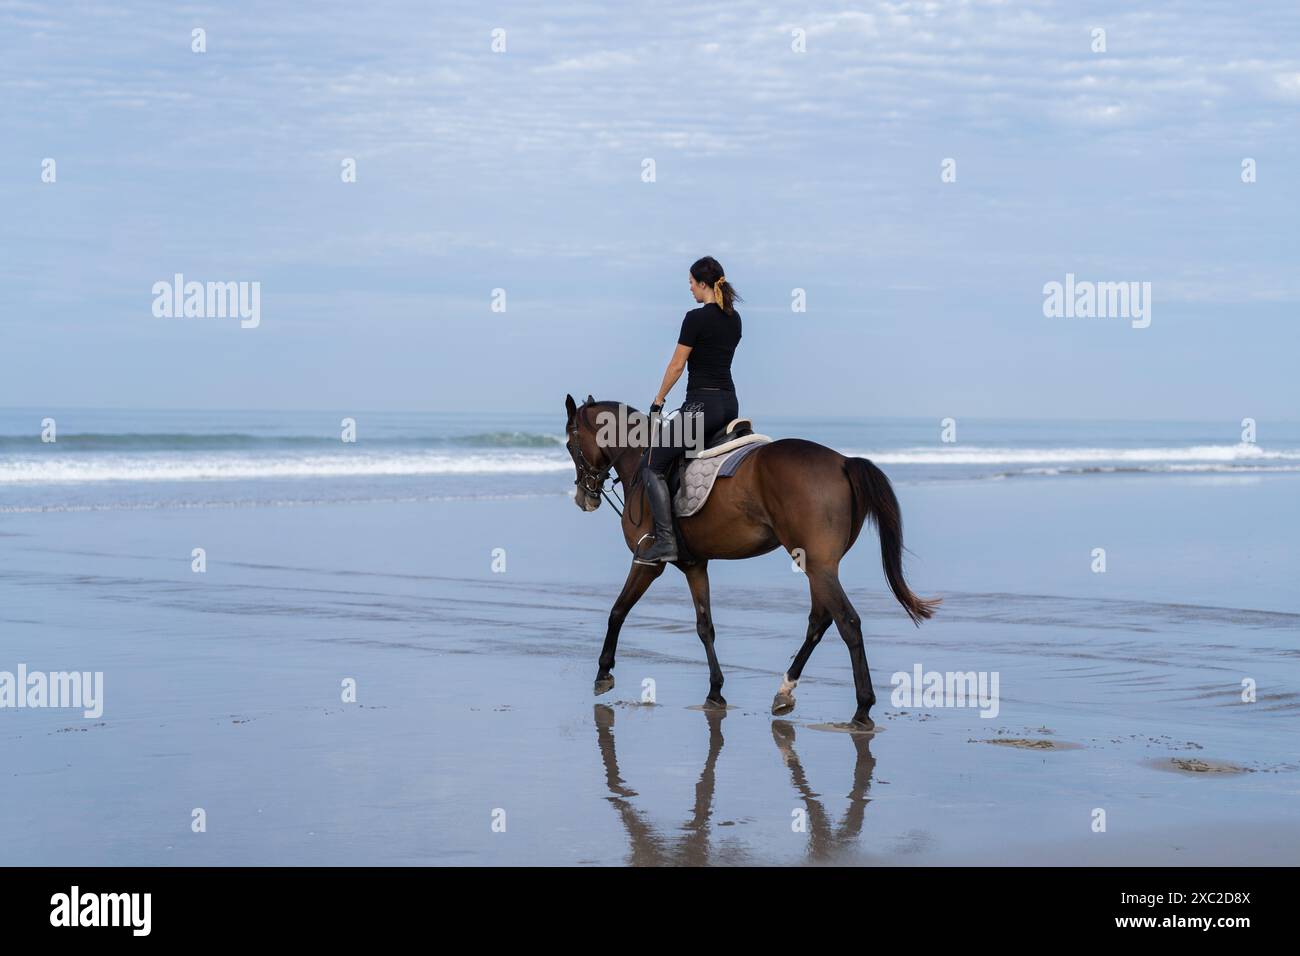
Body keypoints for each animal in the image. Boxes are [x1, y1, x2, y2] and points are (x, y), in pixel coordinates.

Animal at [564, 393, 939, 730]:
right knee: (820, 621)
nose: (584, 497)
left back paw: (862, 708)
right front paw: (715, 692)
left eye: (569, 444)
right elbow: (705, 627)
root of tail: (843, 461)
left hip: (817, 566)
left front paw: (603, 671)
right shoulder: (695, 565)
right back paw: (785, 691)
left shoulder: (647, 561)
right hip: (819, 566)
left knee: (847, 622)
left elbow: (617, 611)